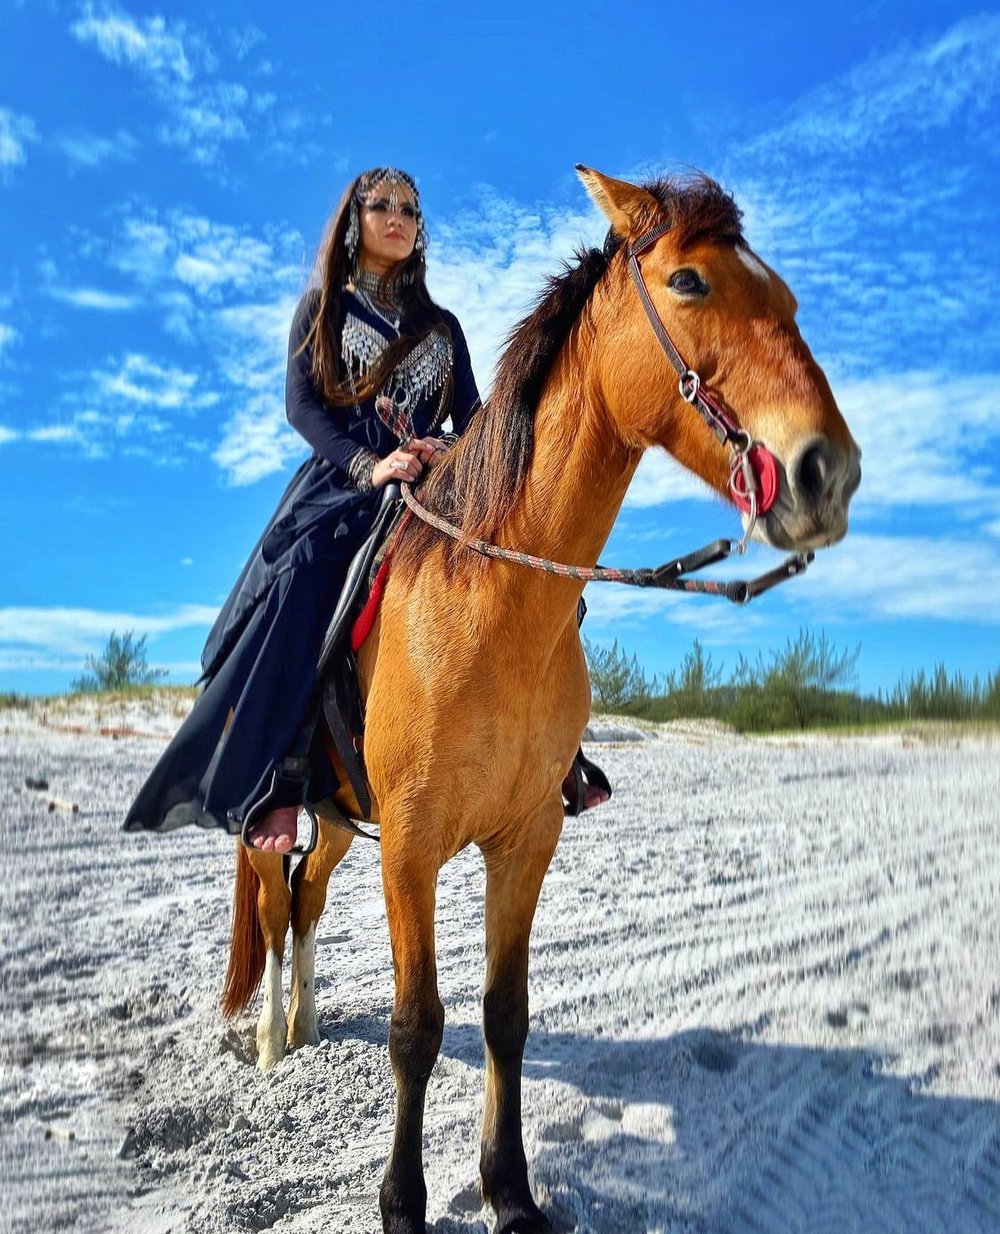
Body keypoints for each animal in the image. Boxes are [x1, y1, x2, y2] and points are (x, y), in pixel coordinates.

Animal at [218, 166, 859, 1234]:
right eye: (689, 282)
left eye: (790, 300)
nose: (826, 472)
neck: (493, 605)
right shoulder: (413, 844)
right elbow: (417, 1025)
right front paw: (403, 1205)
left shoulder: (525, 839)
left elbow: (503, 1017)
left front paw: (510, 1192)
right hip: (275, 818)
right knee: (273, 906)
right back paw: (271, 1040)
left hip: (341, 818)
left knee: (307, 898)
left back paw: (304, 1022)